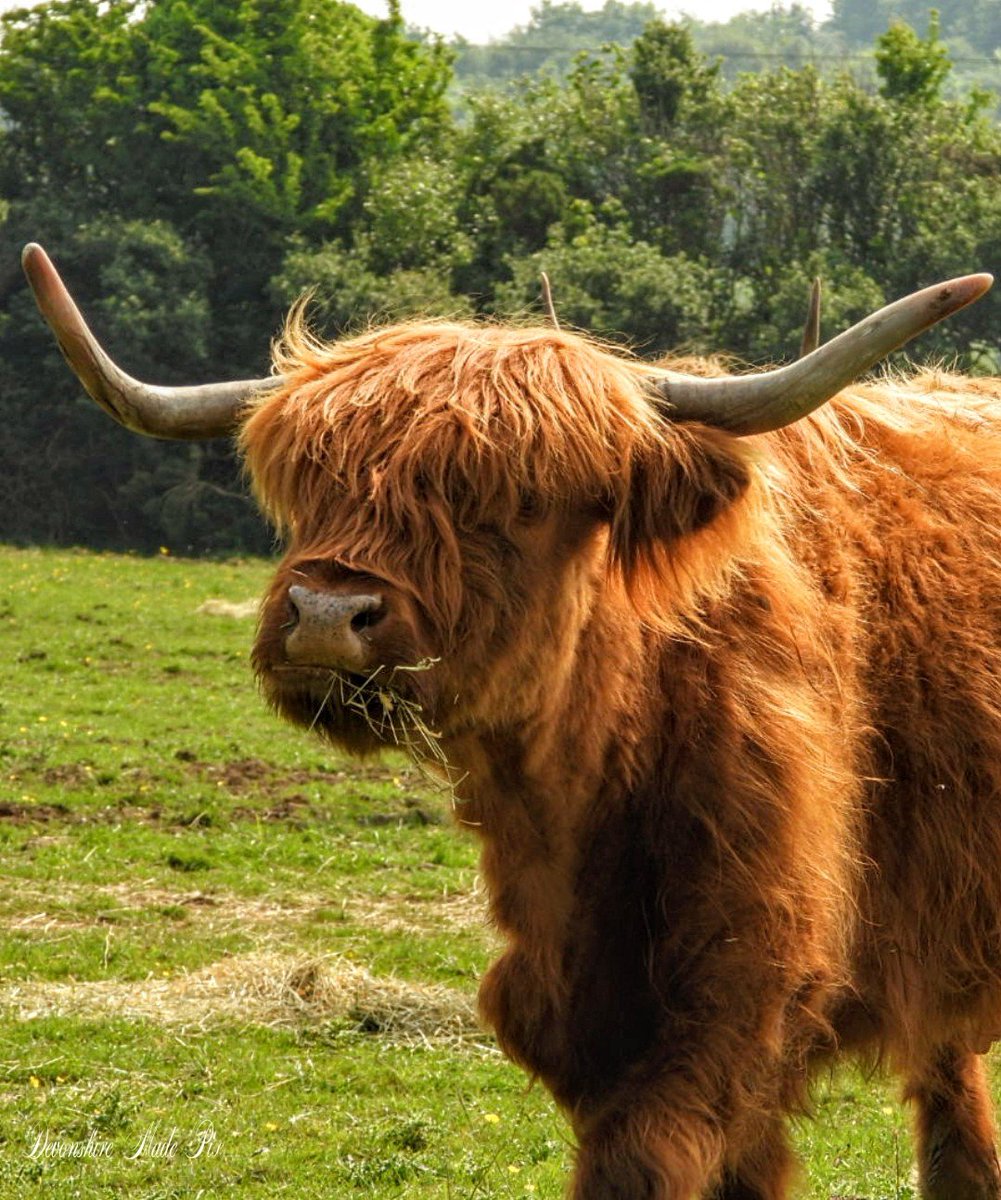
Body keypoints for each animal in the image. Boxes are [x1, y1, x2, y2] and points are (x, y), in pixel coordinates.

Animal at [22, 241, 1001, 1199]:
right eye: (309, 485)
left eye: (515, 502)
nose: (327, 616)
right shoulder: (576, 999)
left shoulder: (748, 980)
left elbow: (647, 1157)